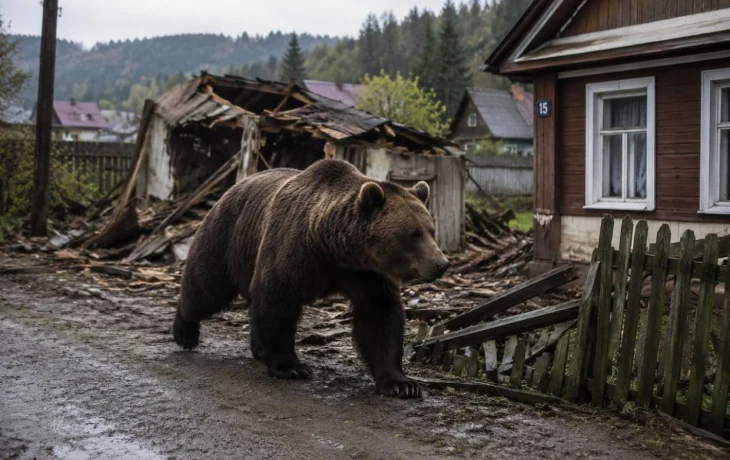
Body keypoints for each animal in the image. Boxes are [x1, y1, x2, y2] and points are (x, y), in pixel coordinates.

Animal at [172, 158, 450, 398]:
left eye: (431, 230)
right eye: (412, 234)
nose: (442, 264)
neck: (333, 247)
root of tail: (230, 189)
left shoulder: (366, 272)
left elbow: (380, 316)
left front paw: (402, 384)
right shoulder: (293, 250)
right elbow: (276, 301)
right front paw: (291, 367)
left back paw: (258, 349)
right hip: (228, 238)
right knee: (207, 288)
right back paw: (185, 332)